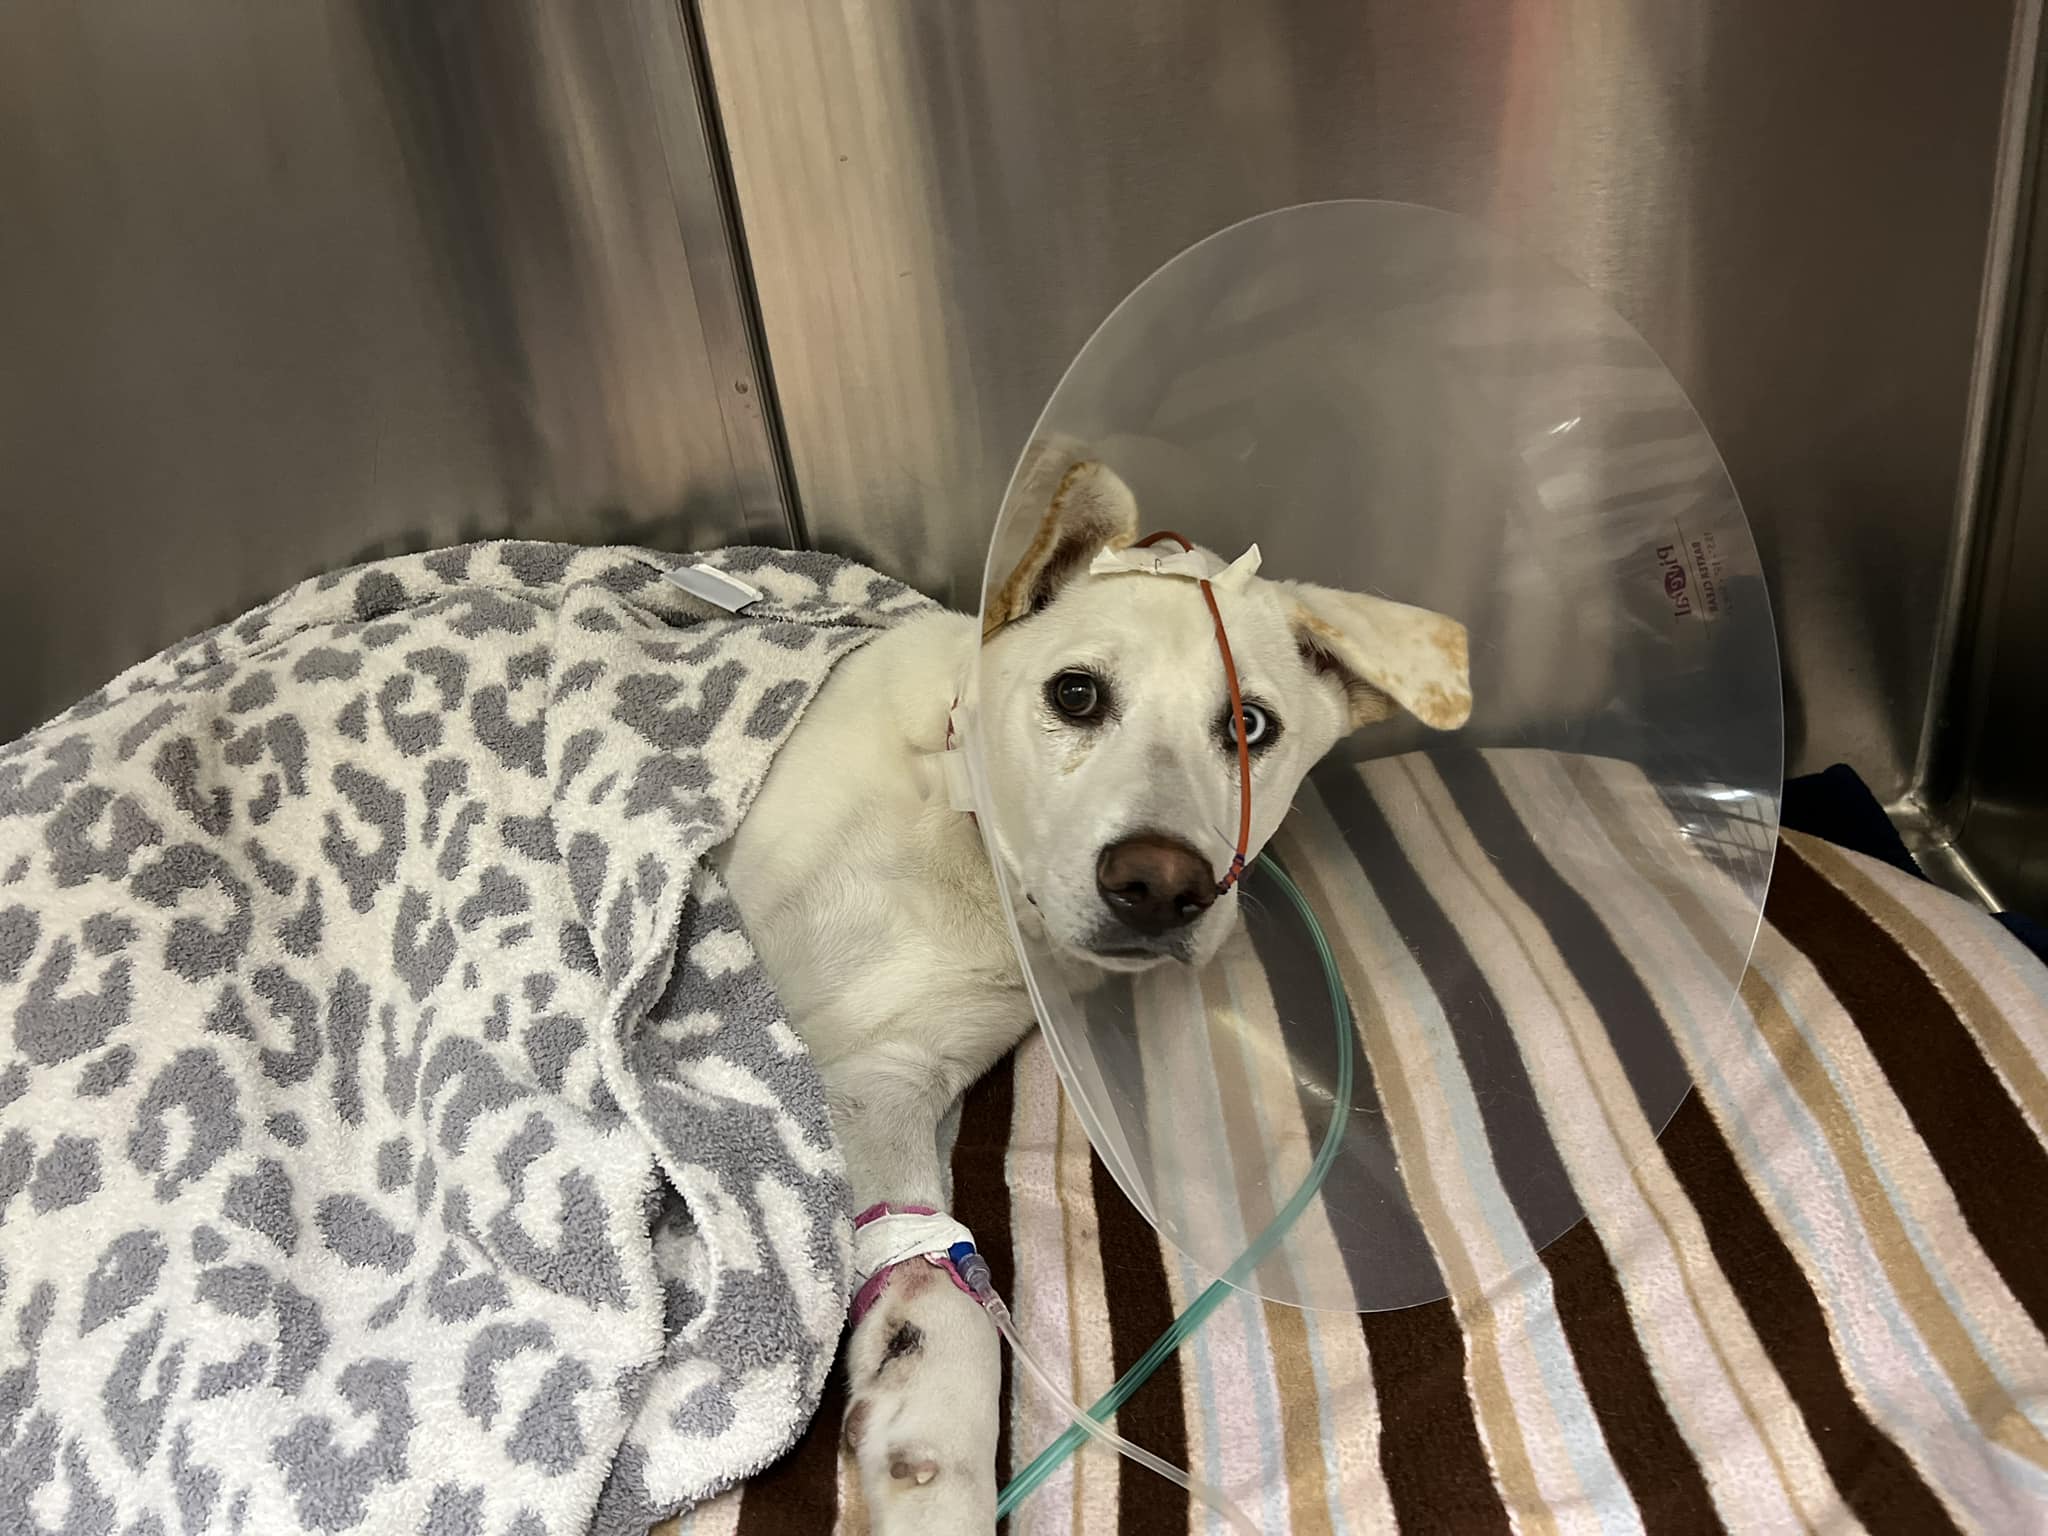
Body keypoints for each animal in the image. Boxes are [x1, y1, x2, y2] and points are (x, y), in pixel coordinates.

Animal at [712, 462, 1466, 1531]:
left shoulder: (881, 1077)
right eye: (1076, 694)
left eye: (1250, 726)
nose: (1160, 886)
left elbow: (932, 1272)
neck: (965, 847)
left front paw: (928, 1447)